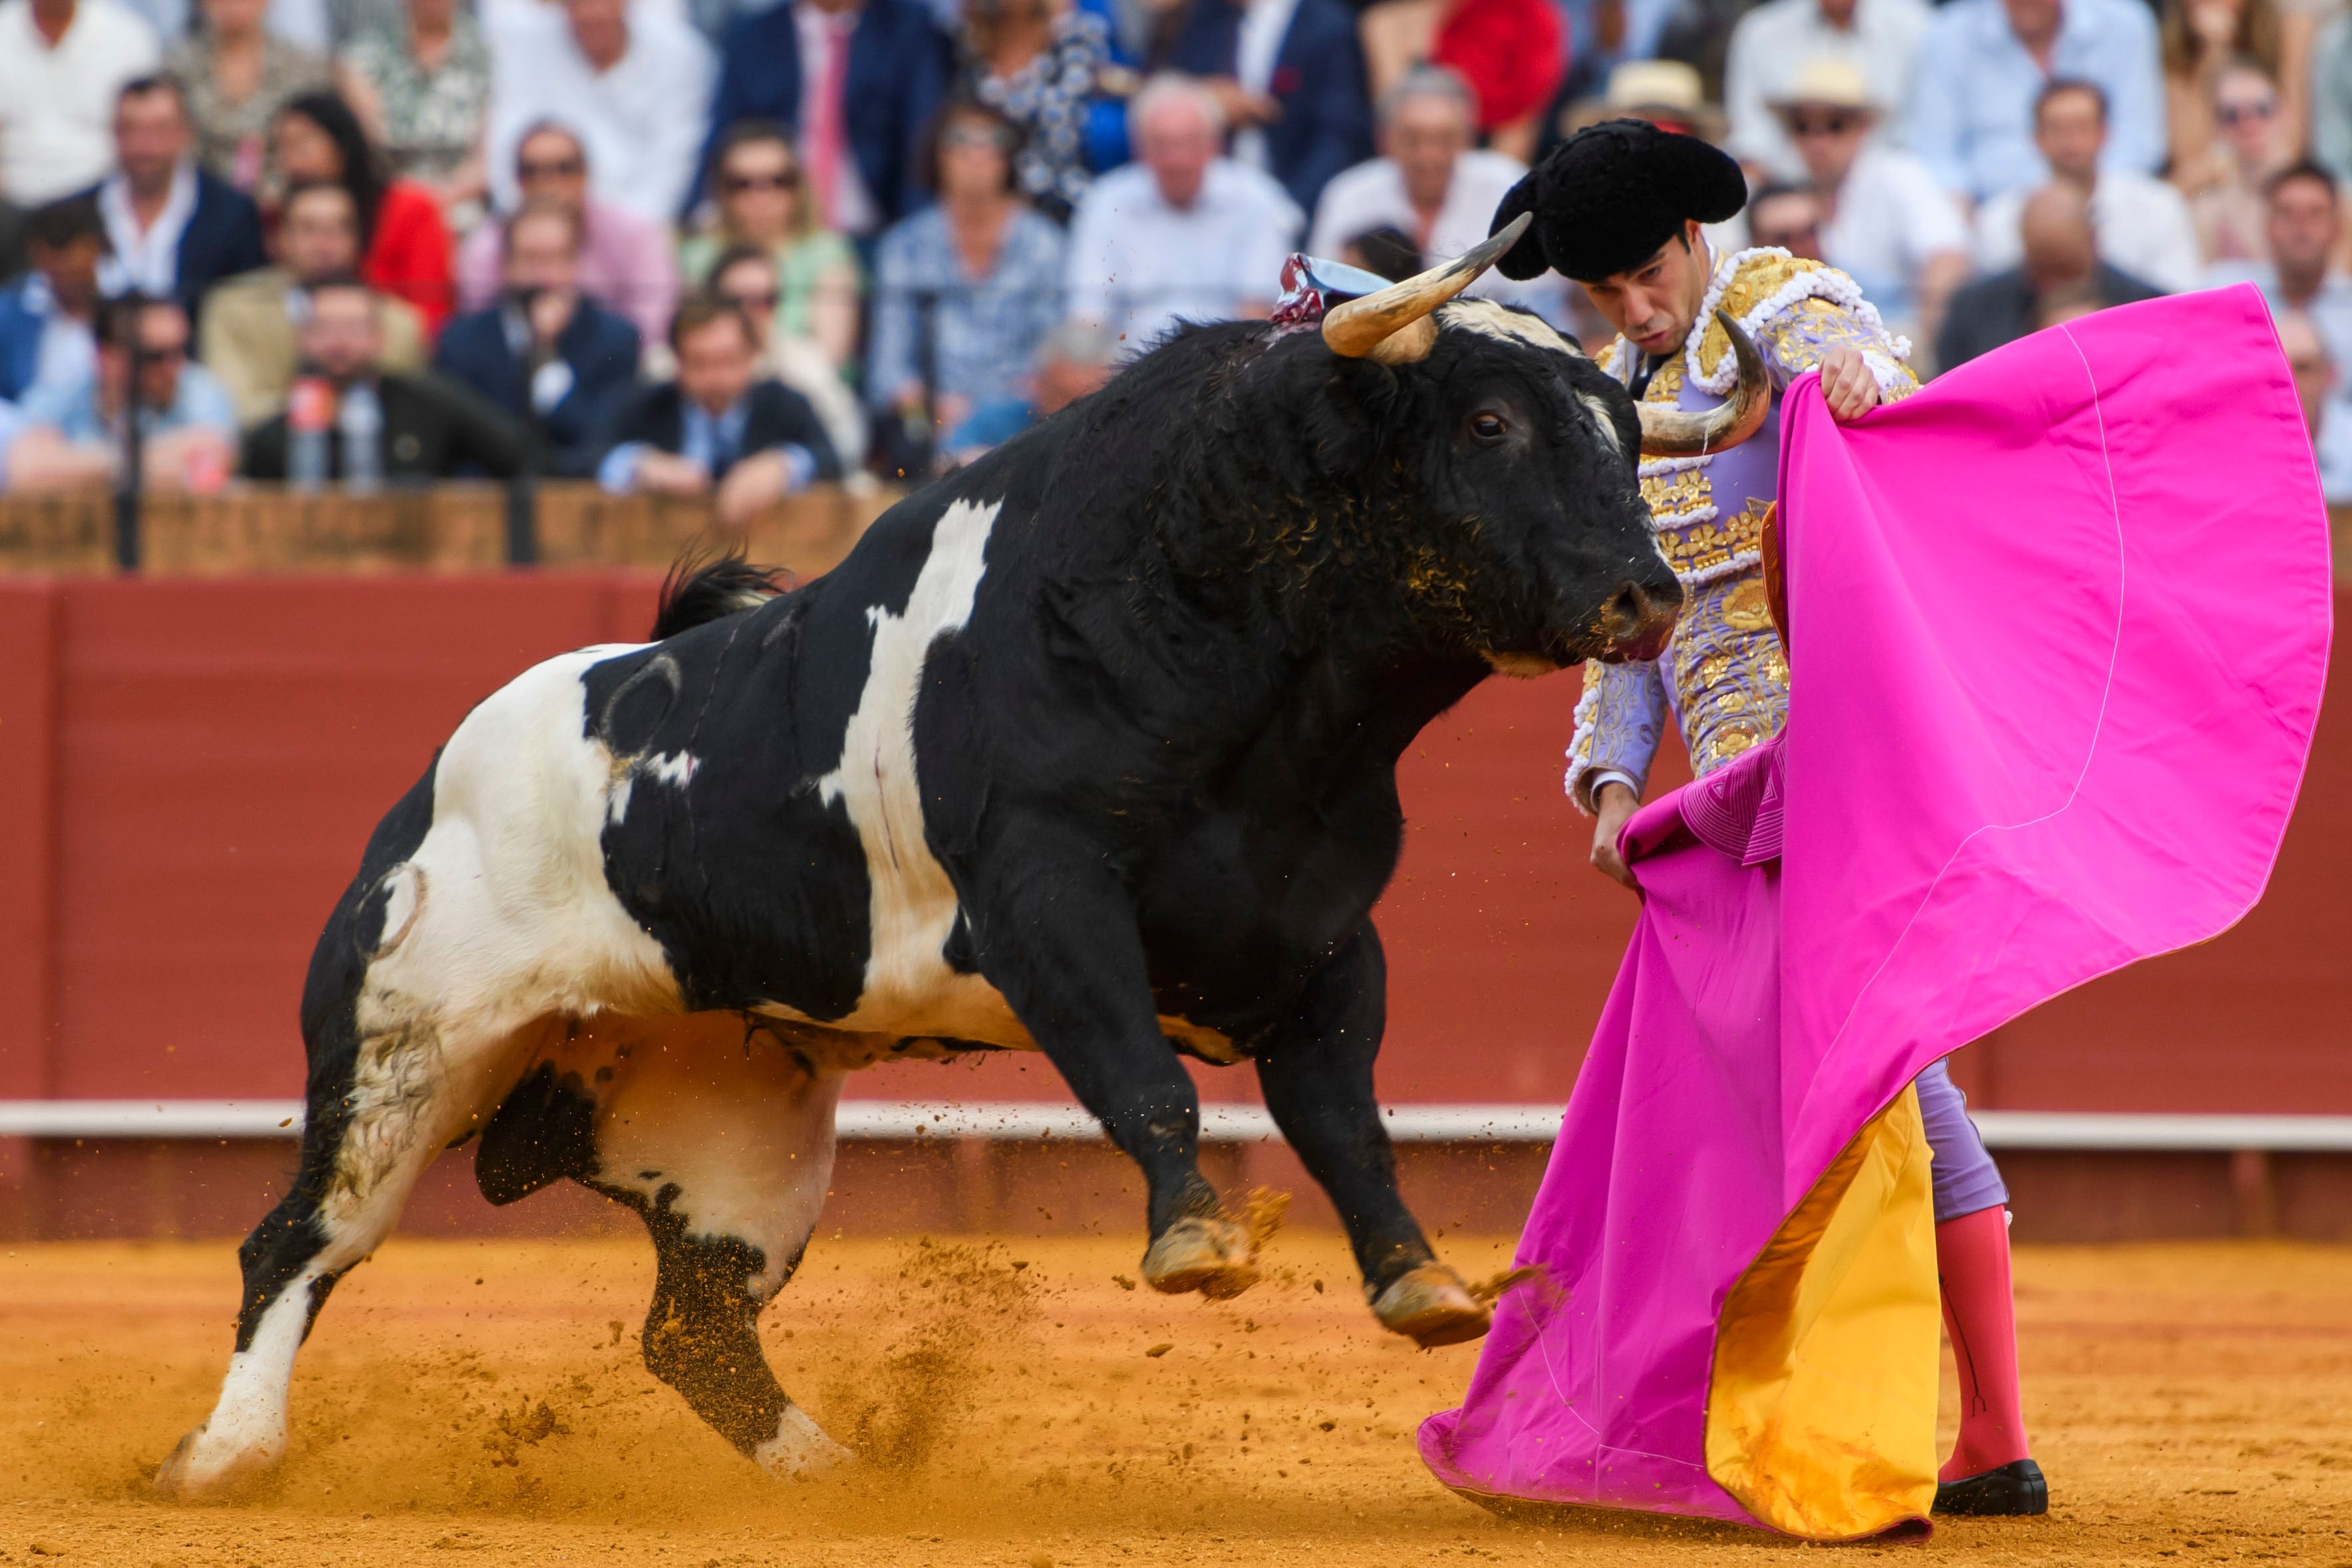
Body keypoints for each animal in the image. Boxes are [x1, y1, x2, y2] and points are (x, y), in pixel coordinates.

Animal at [152, 217, 1769, 1495]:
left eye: (1625, 434)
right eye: (1489, 424)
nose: (1645, 592)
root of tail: (423, 795)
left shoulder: (1317, 937)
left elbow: (1341, 1117)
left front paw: (1421, 1283)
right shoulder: (1048, 908)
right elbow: (1147, 1078)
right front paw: (1197, 1243)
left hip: (729, 1137)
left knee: (695, 1325)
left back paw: (833, 1477)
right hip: (403, 1051)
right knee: (298, 1244)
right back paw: (223, 1458)